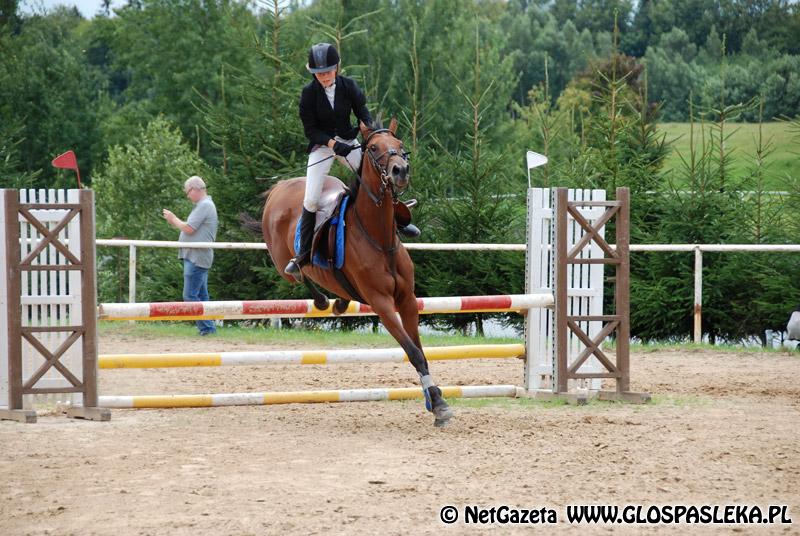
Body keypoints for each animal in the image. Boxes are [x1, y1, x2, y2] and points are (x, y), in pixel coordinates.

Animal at [258, 119, 454, 427]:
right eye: (373, 148)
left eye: (399, 145)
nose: (400, 171)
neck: (380, 237)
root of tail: (279, 187)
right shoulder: (382, 303)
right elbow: (413, 352)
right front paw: (437, 403)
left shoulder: (407, 300)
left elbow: (419, 350)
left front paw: (435, 400)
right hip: (281, 262)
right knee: (298, 273)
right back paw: (322, 298)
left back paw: (340, 300)